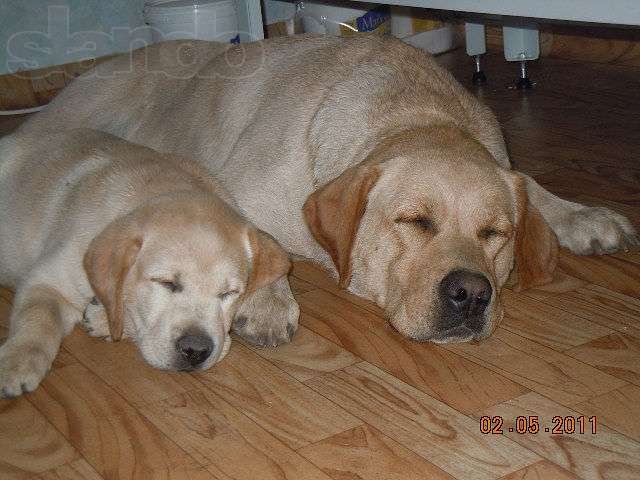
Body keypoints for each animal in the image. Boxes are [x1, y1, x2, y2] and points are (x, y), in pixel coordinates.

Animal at [0, 128, 290, 398]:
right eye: (166, 283)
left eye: (229, 293)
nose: (195, 350)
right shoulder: (48, 281)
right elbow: (38, 317)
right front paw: (17, 364)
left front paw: (102, 318)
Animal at [18, 36, 636, 344]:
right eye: (415, 221)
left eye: (495, 234)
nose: (470, 294)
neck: (416, 114)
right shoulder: (237, 185)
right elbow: (254, 240)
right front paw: (266, 305)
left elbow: (532, 185)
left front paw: (583, 216)